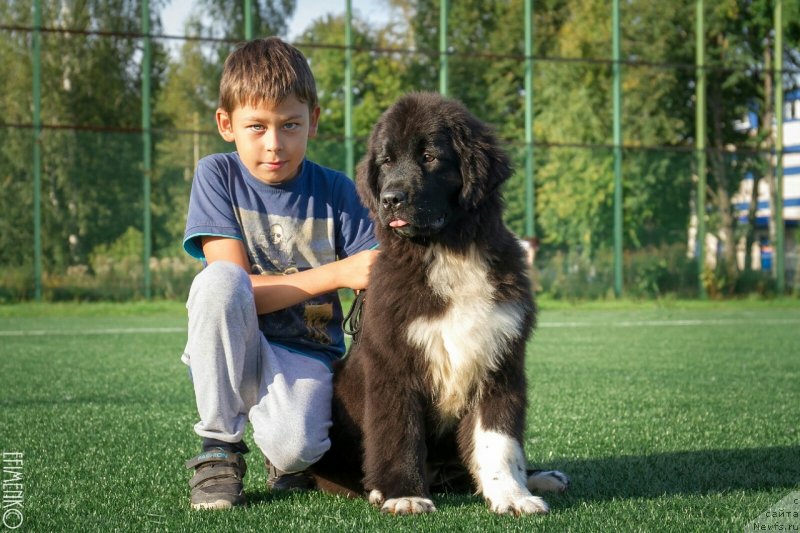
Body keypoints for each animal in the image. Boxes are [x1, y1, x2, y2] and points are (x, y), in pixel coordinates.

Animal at [310, 92, 564, 516]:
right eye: (386, 161)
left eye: (429, 157)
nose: (390, 199)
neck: (448, 252)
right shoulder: (393, 364)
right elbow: (398, 433)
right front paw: (403, 494)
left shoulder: (499, 363)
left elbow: (499, 442)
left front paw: (512, 495)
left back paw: (540, 477)